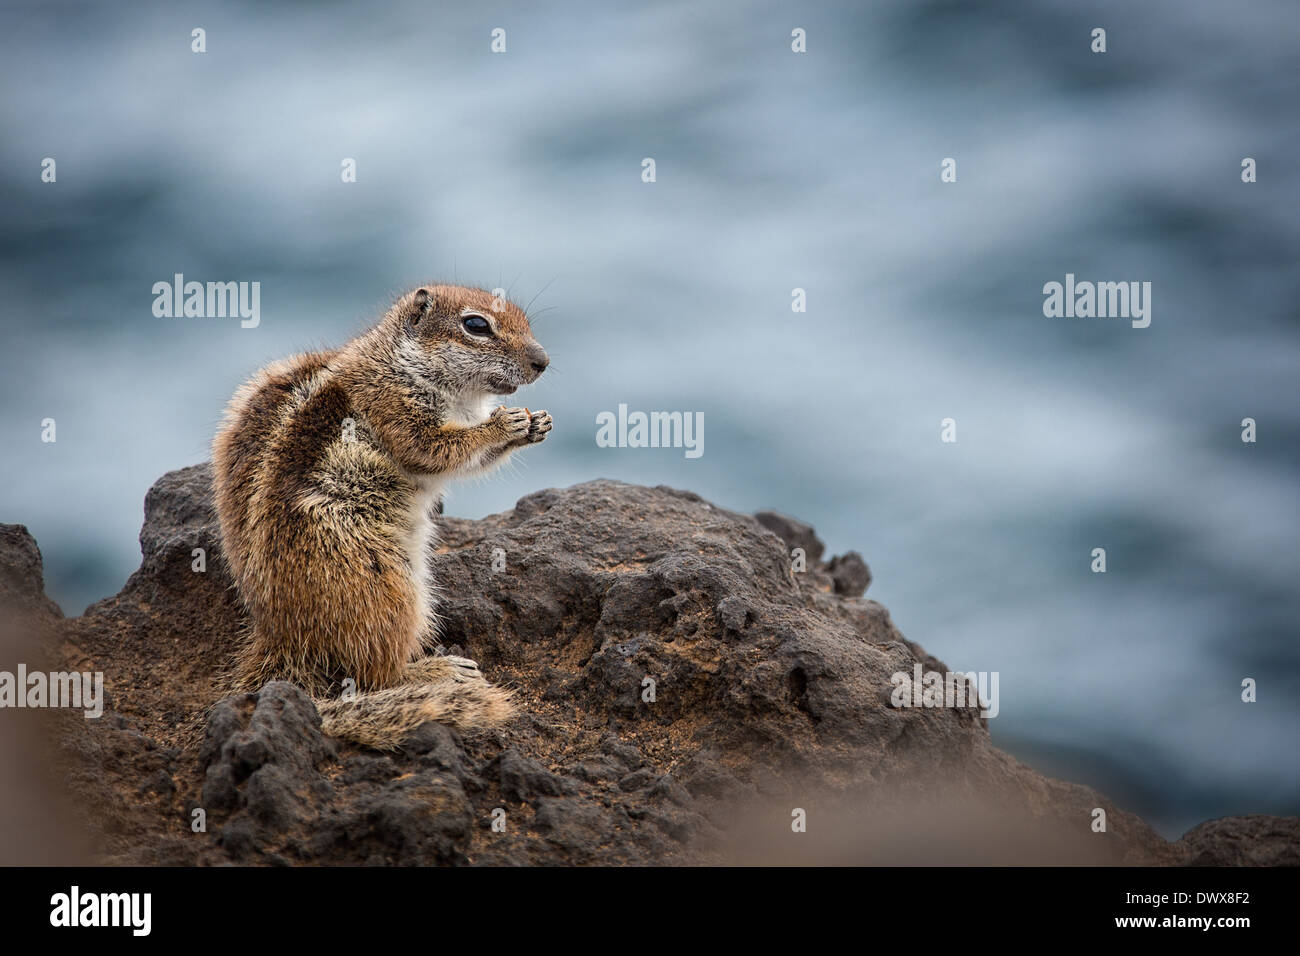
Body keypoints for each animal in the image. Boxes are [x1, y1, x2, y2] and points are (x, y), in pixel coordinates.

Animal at [209, 283, 553, 749]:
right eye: (476, 325)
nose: (543, 362)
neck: (397, 358)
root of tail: (283, 634)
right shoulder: (394, 408)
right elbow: (438, 449)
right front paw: (502, 426)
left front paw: (536, 424)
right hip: (386, 587)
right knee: (376, 674)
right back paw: (440, 671)